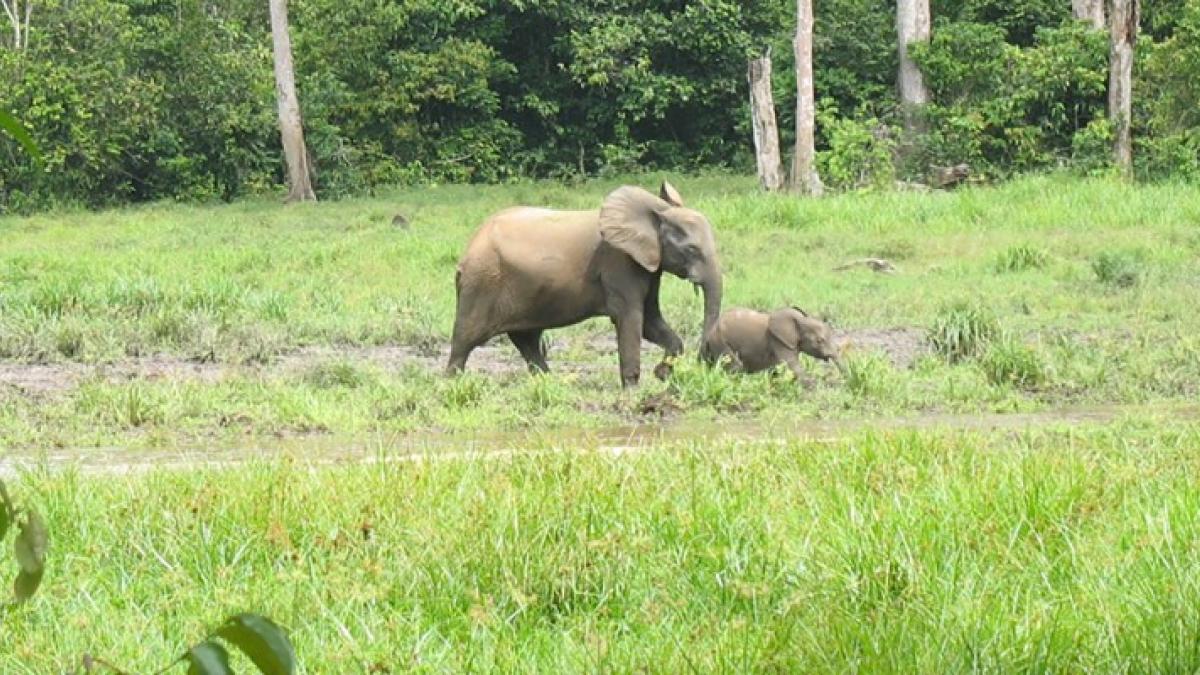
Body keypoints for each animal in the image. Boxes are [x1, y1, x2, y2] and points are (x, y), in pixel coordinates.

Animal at [444, 181, 715, 386]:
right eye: (692, 249)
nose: (705, 365)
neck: (654, 212)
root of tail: (468, 248)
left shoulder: (647, 264)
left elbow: (650, 321)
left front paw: (662, 373)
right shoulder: (619, 263)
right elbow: (631, 319)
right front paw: (633, 389)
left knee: (526, 339)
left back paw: (549, 383)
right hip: (481, 282)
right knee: (465, 340)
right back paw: (451, 384)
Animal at [700, 305, 844, 379]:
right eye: (820, 340)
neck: (800, 320)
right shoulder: (778, 340)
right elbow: (792, 365)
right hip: (720, 341)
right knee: (736, 366)